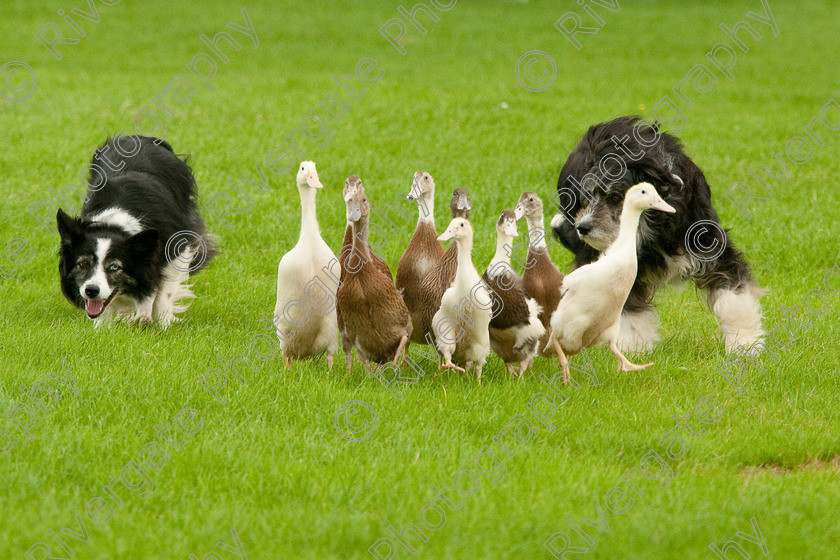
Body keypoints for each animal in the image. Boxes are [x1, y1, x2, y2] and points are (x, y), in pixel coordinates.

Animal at [56, 135, 217, 326]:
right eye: (83, 264)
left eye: (114, 267)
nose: (91, 290)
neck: (115, 223)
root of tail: (140, 138)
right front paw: (103, 327)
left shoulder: (179, 244)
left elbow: (163, 294)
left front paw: (163, 323)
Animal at [548, 117, 764, 354]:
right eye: (585, 196)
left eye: (615, 197)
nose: (582, 227)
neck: (652, 230)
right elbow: (631, 313)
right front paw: (636, 351)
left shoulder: (710, 246)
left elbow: (733, 298)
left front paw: (745, 343)